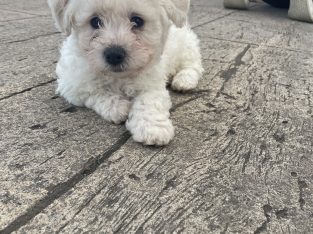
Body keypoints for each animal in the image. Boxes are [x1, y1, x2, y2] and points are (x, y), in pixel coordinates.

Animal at [47, 0, 201, 145]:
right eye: (95, 21)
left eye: (137, 20)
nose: (114, 54)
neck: (119, 77)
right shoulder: (73, 84)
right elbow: (95, 91)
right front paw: (117, 108)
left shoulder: (152, 82)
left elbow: (149, 101)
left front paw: (152, 128)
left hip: (186, 46)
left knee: (194, 65)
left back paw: (184, 80)